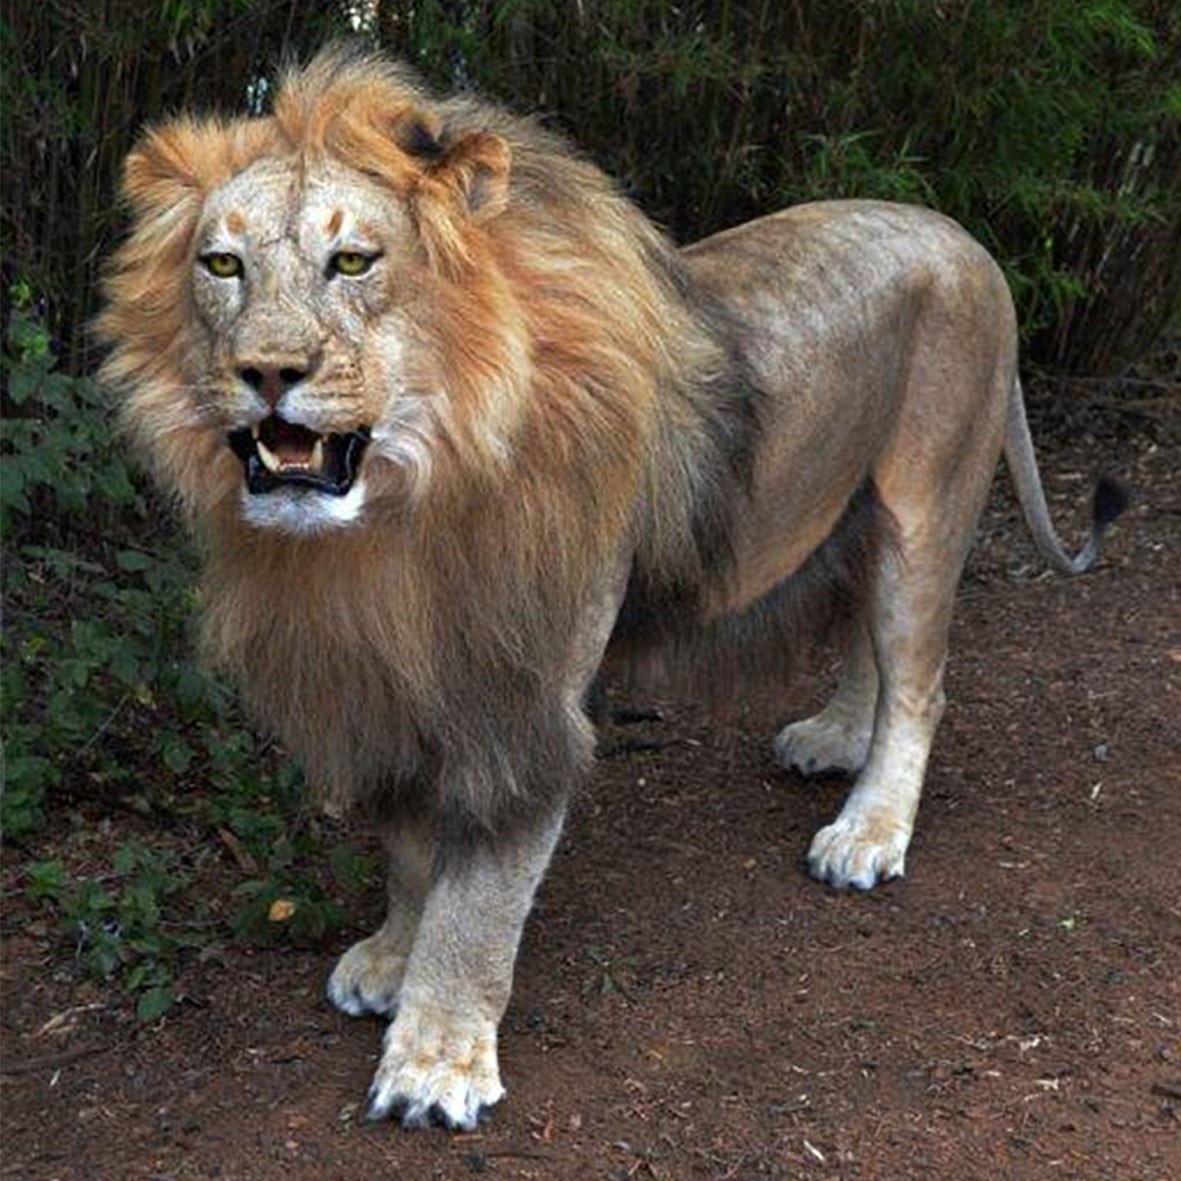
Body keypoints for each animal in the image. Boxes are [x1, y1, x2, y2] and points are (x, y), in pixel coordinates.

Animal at [98, 47, 1123, 1130]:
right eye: (222, 265)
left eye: (353, 262)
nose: (265, 371)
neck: (401, 518)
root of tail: (960, 234)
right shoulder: (395, 673)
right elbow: (413, 851)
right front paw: (390, 956)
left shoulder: (521, 698)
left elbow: (476, 895)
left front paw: (436, 1058)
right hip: (854, 509)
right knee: (861, 636)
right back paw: (839, 737)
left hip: (926, 505)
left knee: (921, 683)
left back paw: (867, 829)